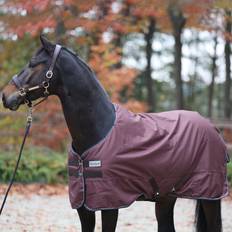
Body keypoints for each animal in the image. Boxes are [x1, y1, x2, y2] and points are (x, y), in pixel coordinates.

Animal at [1, 35, 229, 231]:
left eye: (33, 63)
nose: (5, 95)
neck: (99, 129)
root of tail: (212, 127)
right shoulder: (83, 204)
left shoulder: (109, 203)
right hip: (166, 197)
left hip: (210, 196)